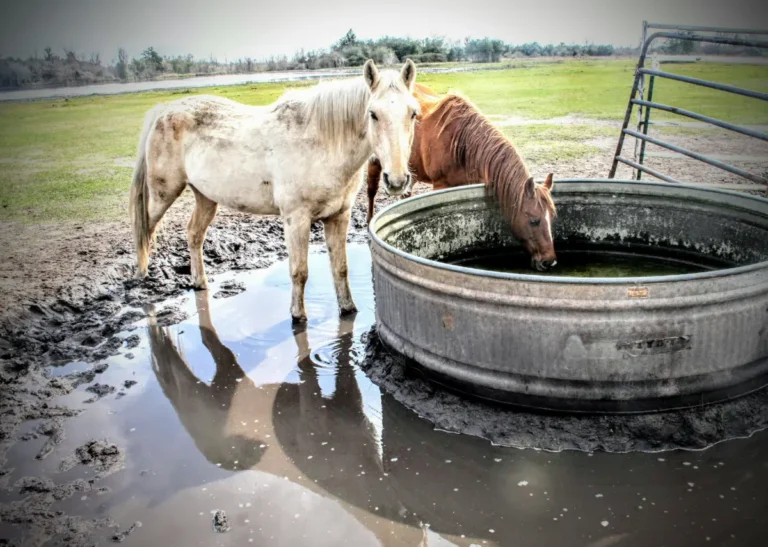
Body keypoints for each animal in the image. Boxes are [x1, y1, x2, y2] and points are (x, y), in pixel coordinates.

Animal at [130, 59, 420, 323]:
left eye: (413, 114)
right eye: (373, 114)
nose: (396, 180)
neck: (321, 145)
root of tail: (164, 110)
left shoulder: (339, 215)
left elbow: (340, 268)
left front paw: (348, 310)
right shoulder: (296, 218)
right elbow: (299, 271)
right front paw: (297, 316)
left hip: (206, 198)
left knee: (194, 235)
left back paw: (199, 282)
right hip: (162, 196)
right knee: (145, 230)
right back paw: (141, 276)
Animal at [365, 83, 557, 271]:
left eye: (552, 217)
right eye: (534, 221)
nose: (549, 262)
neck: (461, 142)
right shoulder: (440, 185)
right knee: (371, 191)